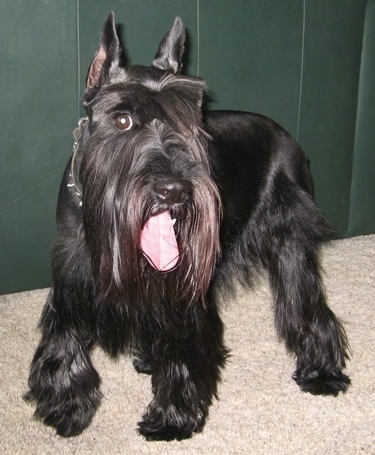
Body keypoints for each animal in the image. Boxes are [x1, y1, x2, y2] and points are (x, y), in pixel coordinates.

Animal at [25, 13, 352, 442]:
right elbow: (64, 333)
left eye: (190, 123)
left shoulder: (181, 287)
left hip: (291, 247)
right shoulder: (72, 273)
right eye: (123, 120)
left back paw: (322, 372)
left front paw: (172, 416)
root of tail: (289, 138)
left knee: (308, 307)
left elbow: (183, 345)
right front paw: (67, 406)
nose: (174, 189)